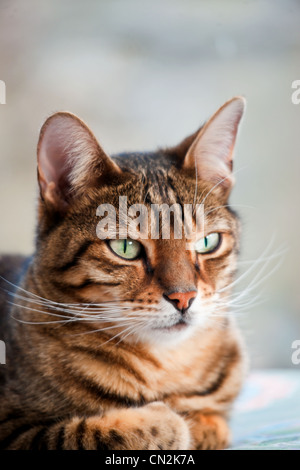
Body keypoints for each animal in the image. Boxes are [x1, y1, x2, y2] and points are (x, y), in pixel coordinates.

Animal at [0, 94, 247, 448]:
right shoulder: (14, 429)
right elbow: (89, 431)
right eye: (126, 247)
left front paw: (198, 423)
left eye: (207, 242)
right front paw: (169, 420)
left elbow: (214, 422)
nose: (184, 297)